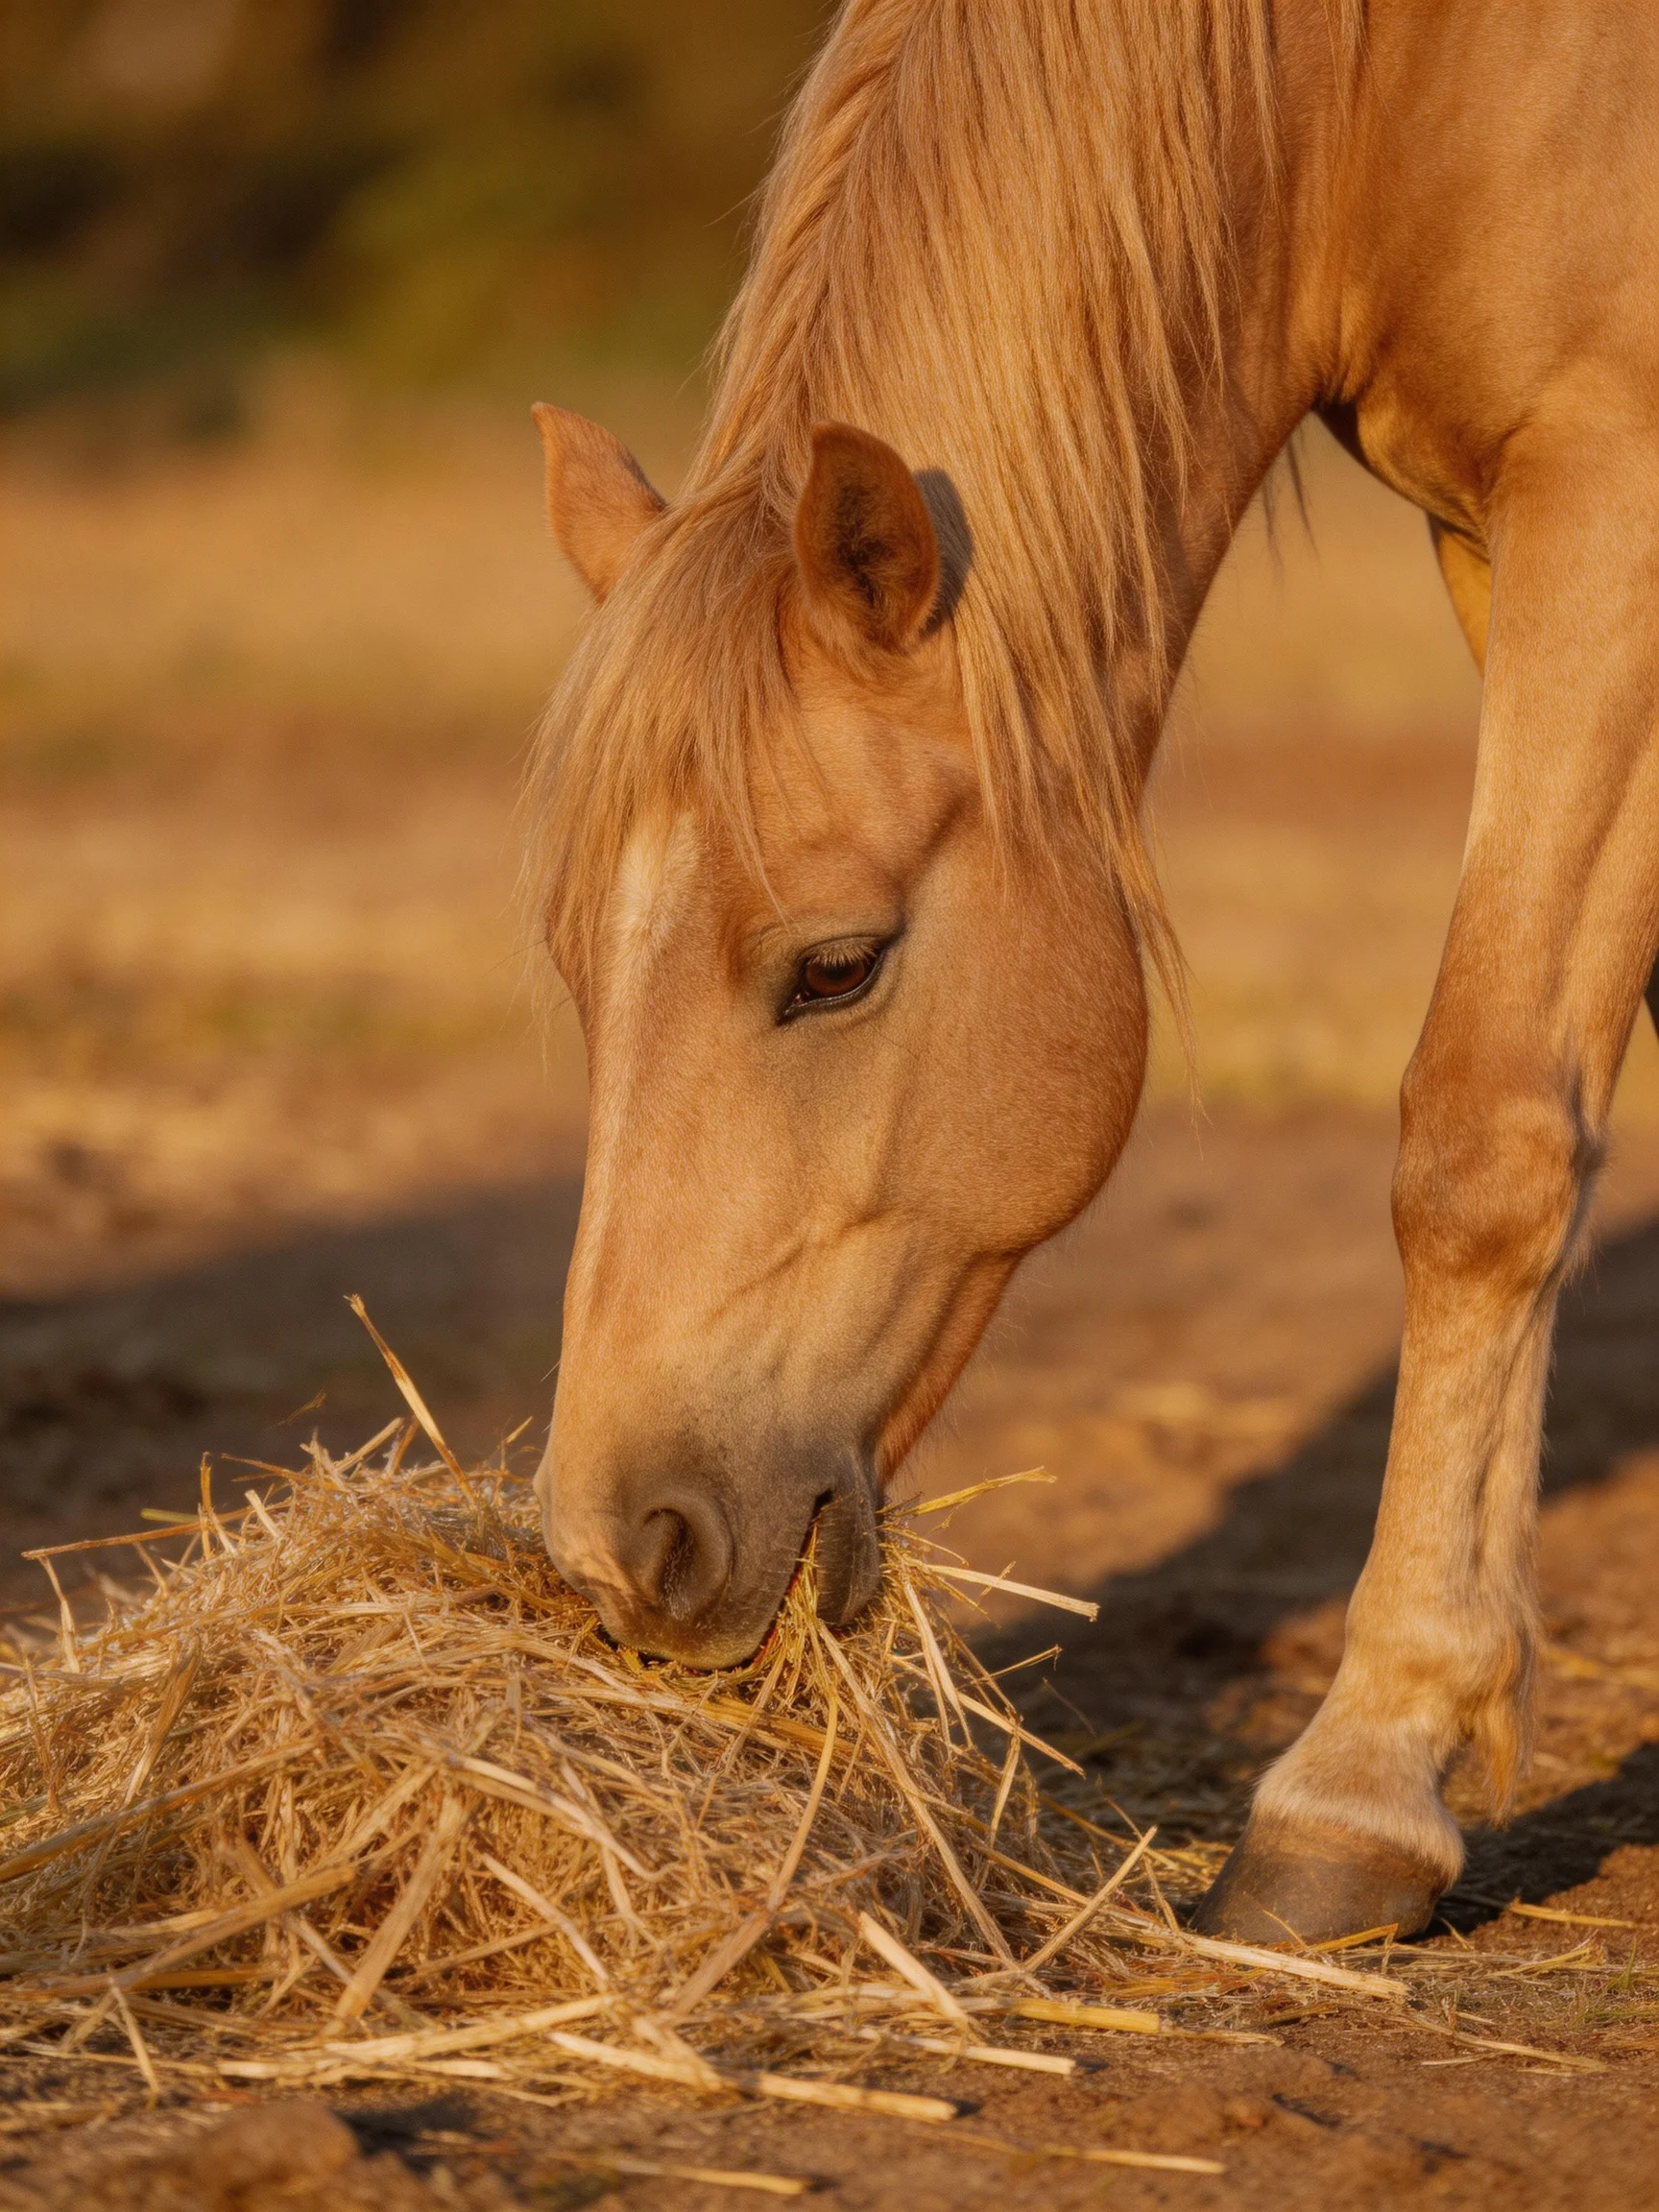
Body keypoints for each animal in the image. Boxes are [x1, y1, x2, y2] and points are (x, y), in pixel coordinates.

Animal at [523, 0, 1659, 1946]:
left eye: (836, 965)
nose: (621, 1552)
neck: (1393, 81)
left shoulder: (1616, 485)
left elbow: (1483, 1129)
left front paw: (1356, 1791)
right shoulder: (1490, 524)